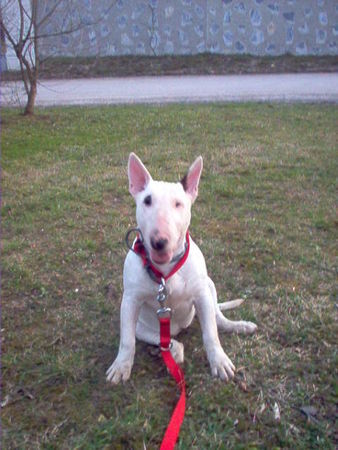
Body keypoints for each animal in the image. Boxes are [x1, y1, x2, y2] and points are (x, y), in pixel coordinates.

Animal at [106, 154, 256, 384]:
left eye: (178, 204)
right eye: (147, 201)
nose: (159, 242)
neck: (165, 269)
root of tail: (181, 326)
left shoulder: (202, 295)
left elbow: (211, 334)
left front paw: (219, 361)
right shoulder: (130, 302)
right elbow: (127, 340)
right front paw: (121, 366)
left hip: (210, 286)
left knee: (218, 319)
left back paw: (239, 325)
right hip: (144, 328)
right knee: (164, 340)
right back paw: (173, 351)